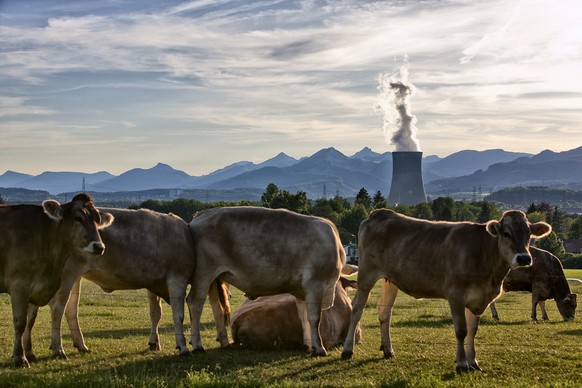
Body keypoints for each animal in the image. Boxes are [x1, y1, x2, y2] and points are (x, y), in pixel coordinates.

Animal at [0, 194, 113, 366]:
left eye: (97, 220)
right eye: (78, 218)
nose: (99, 247)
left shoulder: (36, 288)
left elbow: (30, 321)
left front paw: (30, 353)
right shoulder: (19, 287)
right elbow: (20, 323)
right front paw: (20, 357)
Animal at [22, 208, 232, 362]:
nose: (225, 342)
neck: (190, 240)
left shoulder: (154, 281)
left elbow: (156, 312)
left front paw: (154, 342)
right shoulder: (176, 277)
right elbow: (178, 314)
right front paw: (183, 346)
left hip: (74, 278)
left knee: (68, 310)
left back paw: (78, 345)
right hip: (67, 275)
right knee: (58, 308)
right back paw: (58, 348)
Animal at [344, 209, 556, 372]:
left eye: (529, 234)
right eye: (506, 233)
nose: (524, 258)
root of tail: (381, 213)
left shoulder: (478, 297)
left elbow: (473, 331)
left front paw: (473, 361)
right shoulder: (455, 295)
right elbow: (461, 330)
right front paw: (461, 363)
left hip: (390, 280)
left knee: (384, 313)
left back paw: (388, 350)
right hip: (366, 274)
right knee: (357, 309)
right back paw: (347, 350)